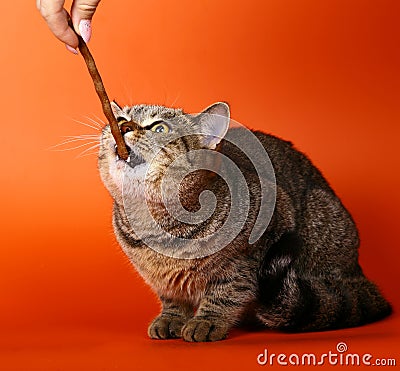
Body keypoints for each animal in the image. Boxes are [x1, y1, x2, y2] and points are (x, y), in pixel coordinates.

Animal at [98, 101, 392, 342]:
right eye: (121, 118)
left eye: (160, 128)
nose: (122, 127)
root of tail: (358, 274)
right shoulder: (160, 278)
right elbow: (171, 297)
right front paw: (172, 317)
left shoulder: (258, 243)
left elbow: (228, 290)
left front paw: (207, 321)